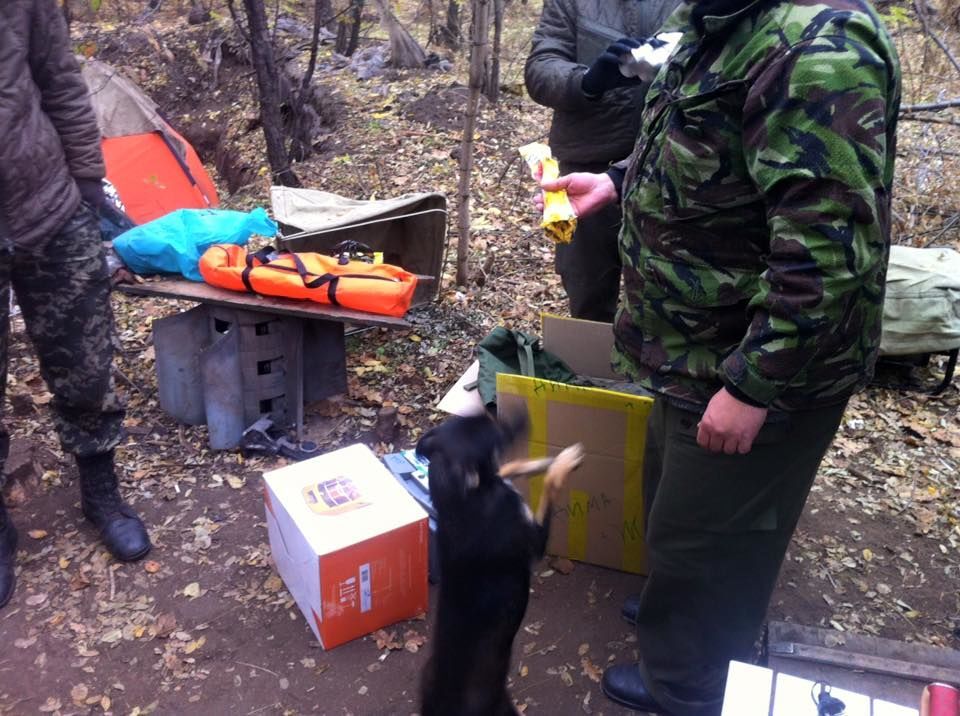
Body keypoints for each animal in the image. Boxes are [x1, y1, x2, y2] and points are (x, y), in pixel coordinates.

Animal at [416, 412, 580, 712]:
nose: (523, 416)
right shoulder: (535, 541)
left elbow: (505, 470)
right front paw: (563, 461)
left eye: (483, 417)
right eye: (496, 435)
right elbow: (550, 483)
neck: (459, 503)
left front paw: (536, 463)